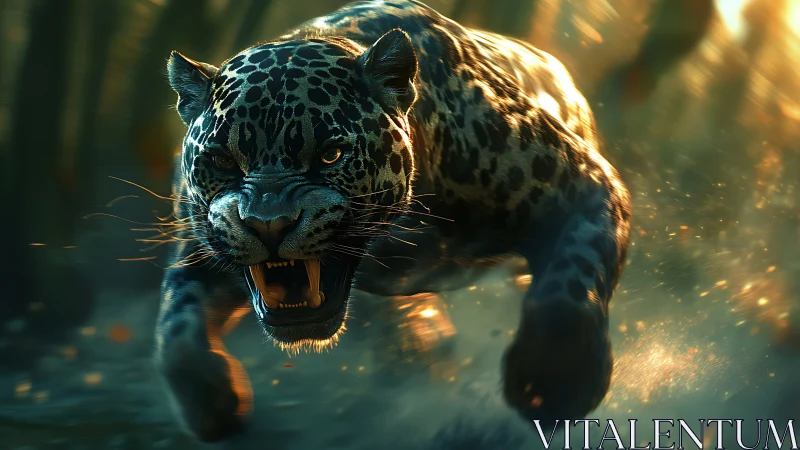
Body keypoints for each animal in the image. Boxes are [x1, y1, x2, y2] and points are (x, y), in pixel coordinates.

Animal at [155, 0, 632, 442]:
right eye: (222, 160)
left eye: (330, 155)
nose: (267, 224)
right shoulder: (199, 249)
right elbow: (175, 326)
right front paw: (211, 402)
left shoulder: (581, 183)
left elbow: (569, 285)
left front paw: (554, 380)